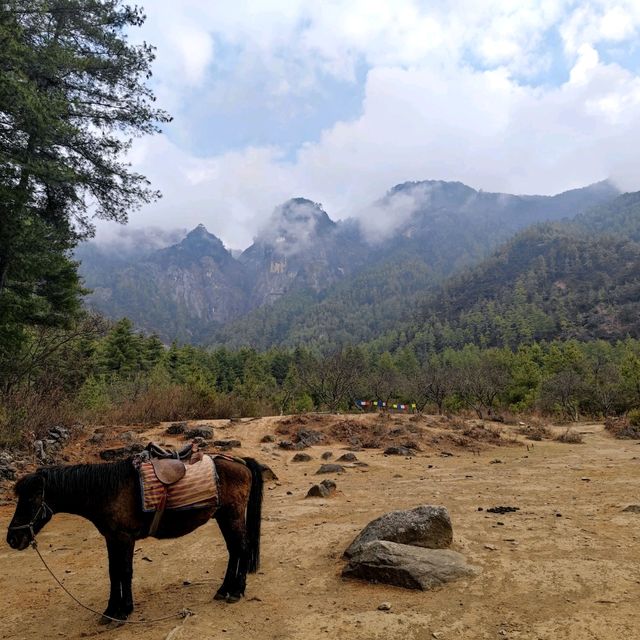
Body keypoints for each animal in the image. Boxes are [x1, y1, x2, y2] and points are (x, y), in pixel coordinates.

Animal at [7, 452, 262, 624]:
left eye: (30, 500)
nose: (12, 538)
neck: (107, 491)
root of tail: (239, 462)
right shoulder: (112, 538)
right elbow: (115, 572)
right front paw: (114, 610)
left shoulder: (124, 538)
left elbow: (124, 572)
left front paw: (120, 611)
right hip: (224, 517)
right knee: (235, 550)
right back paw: (224, 590)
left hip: (232, 515)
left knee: (242, 548)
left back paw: (236, 591)